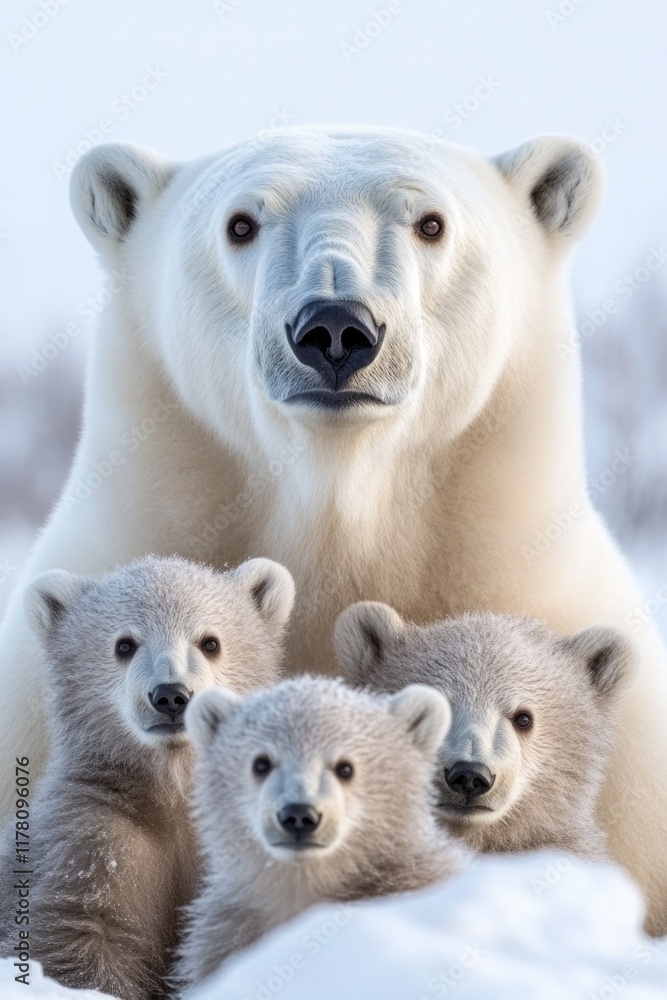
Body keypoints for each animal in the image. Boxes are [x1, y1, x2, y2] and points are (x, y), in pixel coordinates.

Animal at [0, 555, 294, 1000]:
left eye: (210, 642)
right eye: (124, 644)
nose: (171, 695)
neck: (172, 792)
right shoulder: (93, 833)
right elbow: (84, 930)